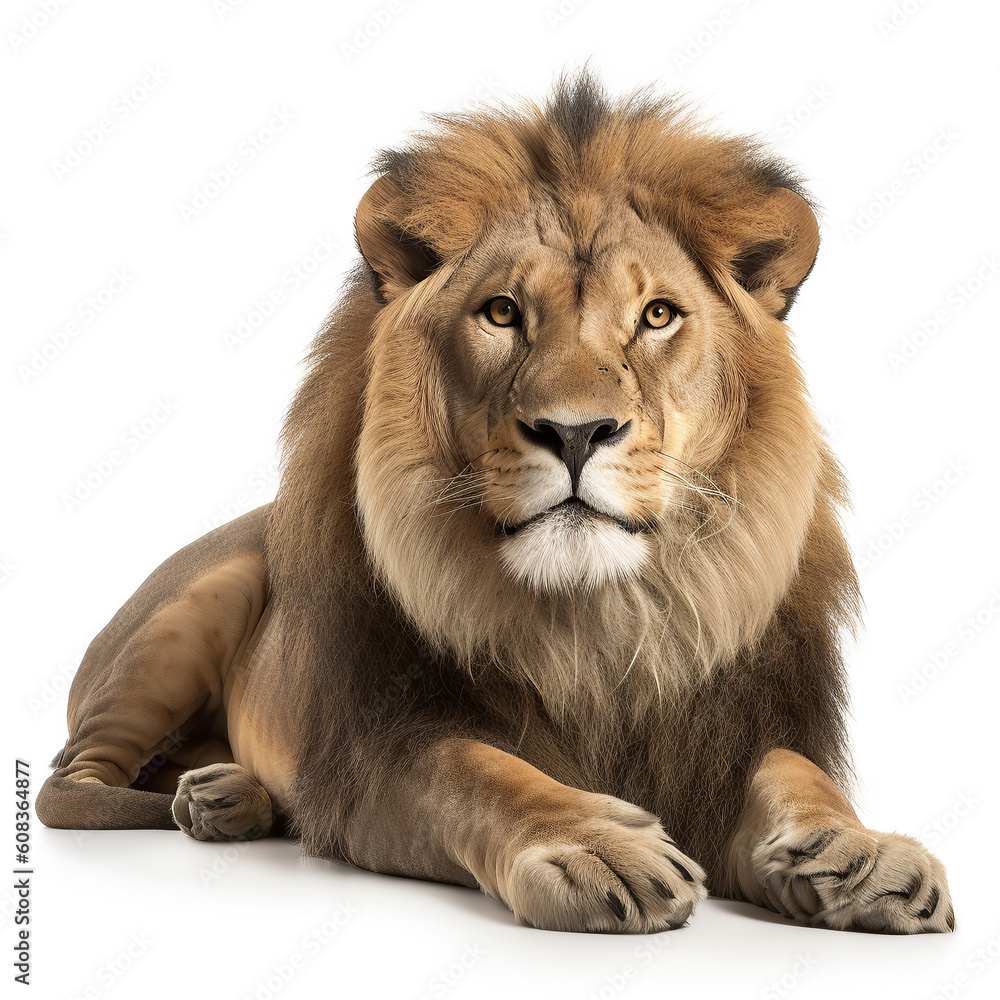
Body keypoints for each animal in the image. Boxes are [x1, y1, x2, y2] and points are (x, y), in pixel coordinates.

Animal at [37, 72, 953, 935]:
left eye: (658, 315)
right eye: (503, 313)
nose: (576, 432)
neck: (599, 628)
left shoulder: (727, 739)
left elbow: (794, 773)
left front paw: (862, 852)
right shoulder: (378, 751)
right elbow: (480, 772)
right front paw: (594, 843)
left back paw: (228, 796)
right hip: (189, 611)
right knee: (68, 783)